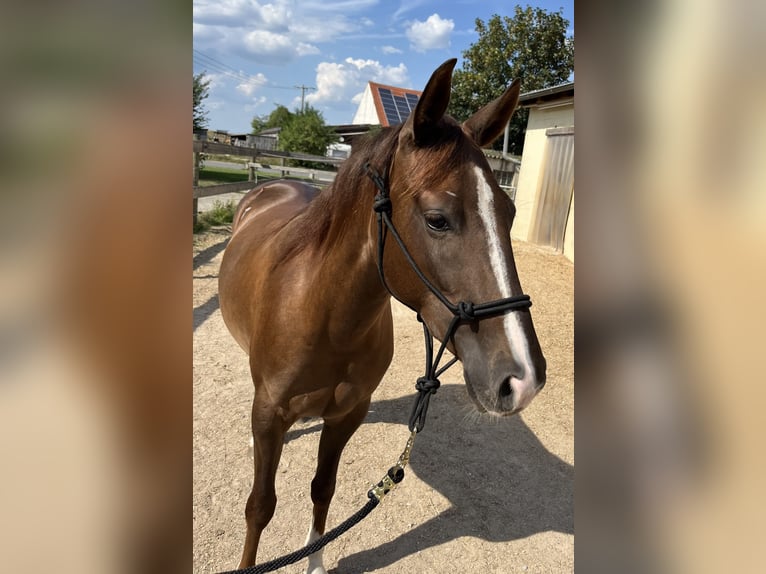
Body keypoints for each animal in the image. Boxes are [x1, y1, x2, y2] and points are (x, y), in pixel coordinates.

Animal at [219, 59, 548, 574]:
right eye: (437, 219)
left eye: (509, 213)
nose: (524, 378)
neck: (325, 317)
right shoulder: (269, 415)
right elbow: (260, 507)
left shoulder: (347, 415)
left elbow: (323, 489)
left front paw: (315, 561)